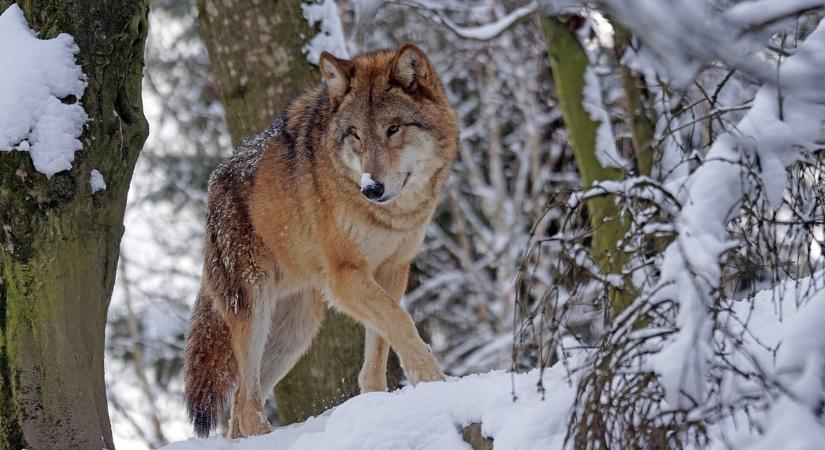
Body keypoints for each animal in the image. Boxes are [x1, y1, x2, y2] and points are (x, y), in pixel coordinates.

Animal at [183, 44, 460, 438]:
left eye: (393, 129)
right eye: (355, 134)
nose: (371, 188)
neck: (390, 216)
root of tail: (215, 183)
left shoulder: (392, 270)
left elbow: (381, 344)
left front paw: (378, 403)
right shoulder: (345, 277)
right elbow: (401, 321)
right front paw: (434, 381)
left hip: (296, 331)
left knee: (239, 404)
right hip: (255, 309)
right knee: (246, 401)